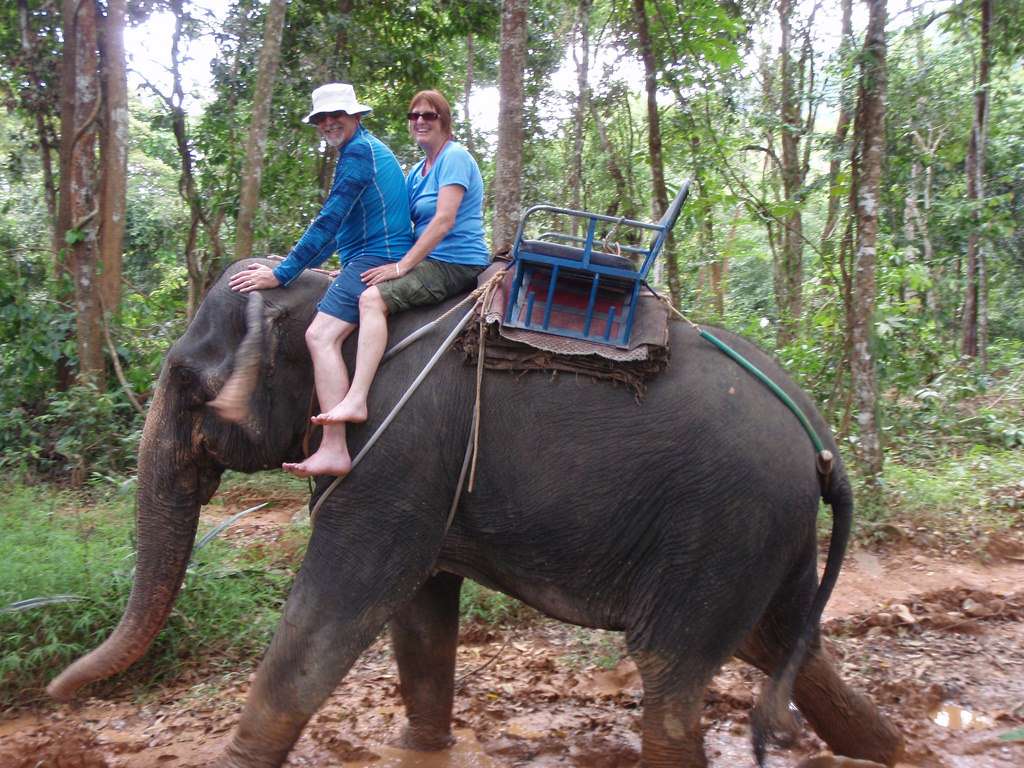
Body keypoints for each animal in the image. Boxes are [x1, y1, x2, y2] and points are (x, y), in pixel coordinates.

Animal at [48, 259, 904, 767]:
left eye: (188, 384)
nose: (54, 691)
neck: (330, 288)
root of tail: (822, 440)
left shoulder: (389, 452)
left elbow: (338, 604)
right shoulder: (419, 473)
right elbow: (421, 608)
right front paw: (422, 749)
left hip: (723, 530)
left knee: (673, 683)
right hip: (766, 537)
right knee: (783, 644)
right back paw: (892, 749)